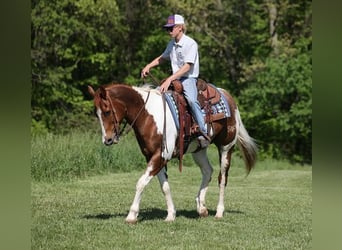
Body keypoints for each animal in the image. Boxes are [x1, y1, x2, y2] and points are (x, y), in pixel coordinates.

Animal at [88, 81, 256, 224]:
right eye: (96, 113)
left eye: (107, 111)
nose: (108, 140)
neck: (149, 115)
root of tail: (227, 96)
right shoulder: (154, 157)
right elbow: (165, 186)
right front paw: (170, 215)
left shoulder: (160, 156)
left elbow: (141, 183)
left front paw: (131, 215)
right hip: (199, 149)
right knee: (208, 171)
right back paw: (201, 207)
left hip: (226, 148)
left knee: (222, 178)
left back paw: (219, 212)